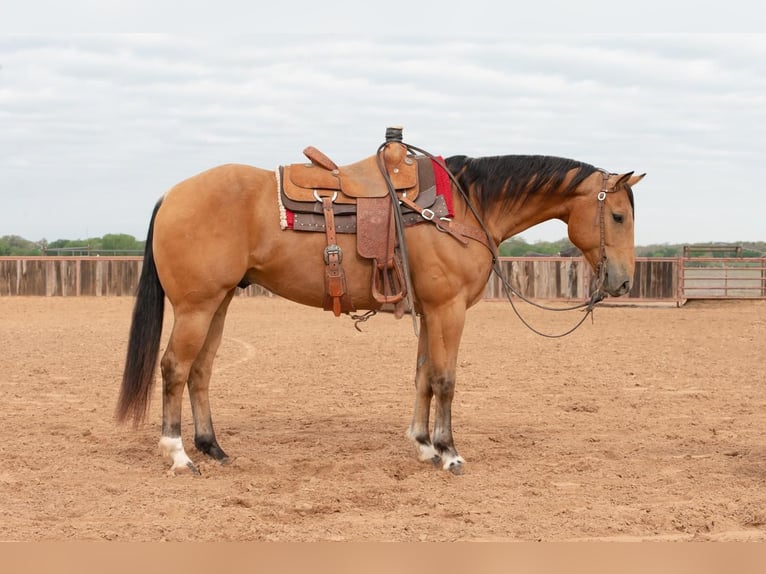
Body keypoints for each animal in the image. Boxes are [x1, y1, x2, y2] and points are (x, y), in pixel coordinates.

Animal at [116, 140, 644, 475]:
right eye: (618, 215)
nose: (621, 281)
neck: (465, 207)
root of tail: (172, 194)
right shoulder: (449, 309)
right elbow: (445, 379)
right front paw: (449, 452)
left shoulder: (431, 311)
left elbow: (423, 376)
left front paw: (424, 445)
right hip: (196, 306)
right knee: (175, 367)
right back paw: (178, 455)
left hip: (219, 303)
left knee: (201, 370)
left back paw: (212, 448)